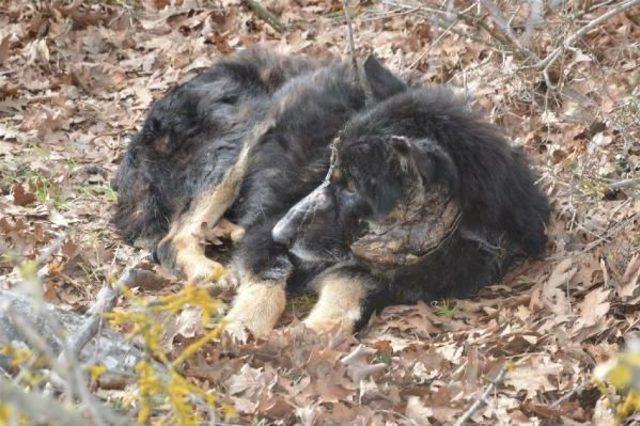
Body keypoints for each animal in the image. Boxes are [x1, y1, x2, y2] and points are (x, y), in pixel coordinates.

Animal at [111, 49, 552, 336]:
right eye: (328, 172)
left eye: (350, 187)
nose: (281, 233)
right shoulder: (266, 234)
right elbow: (269, 281)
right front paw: (245, 325)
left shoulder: (372, 280)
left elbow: (344, 309)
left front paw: (311, 334)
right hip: (239, 139)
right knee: (172, 238)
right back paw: (208, 269)